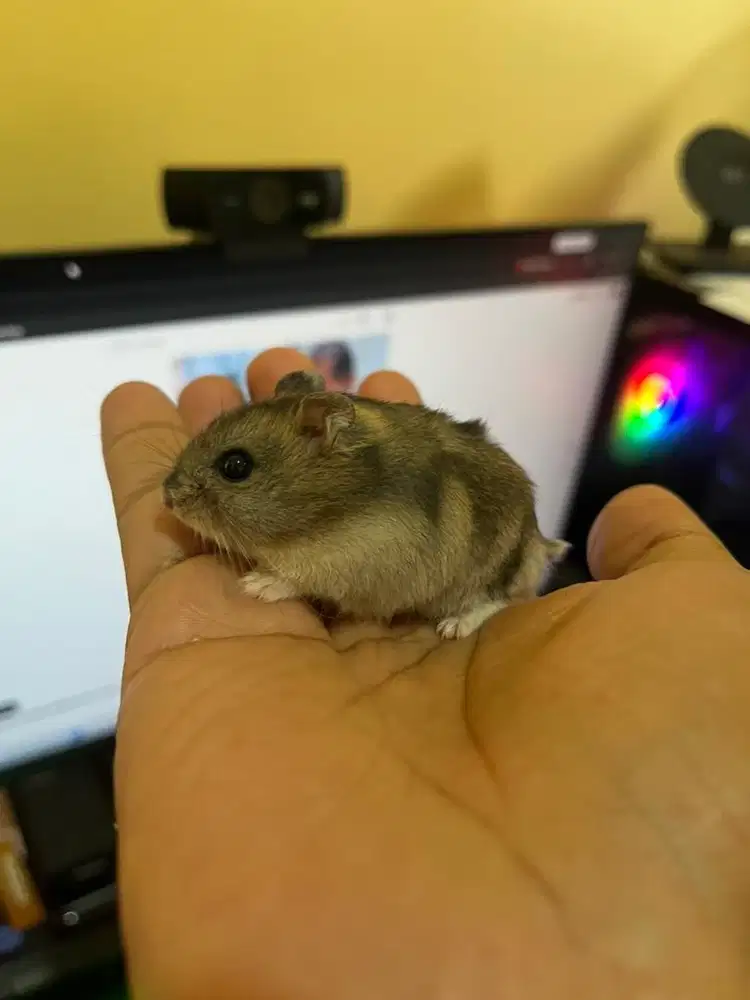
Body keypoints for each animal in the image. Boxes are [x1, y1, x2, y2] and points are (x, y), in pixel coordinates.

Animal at [163, 370, 569, 639]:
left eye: (236, 466)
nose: (166, 497)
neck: (327, 513)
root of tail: (538, 540)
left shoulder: (351, 564)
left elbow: (295, 578)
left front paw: (255, 585)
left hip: (496, 569)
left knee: (503, 600)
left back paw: (452, 627)